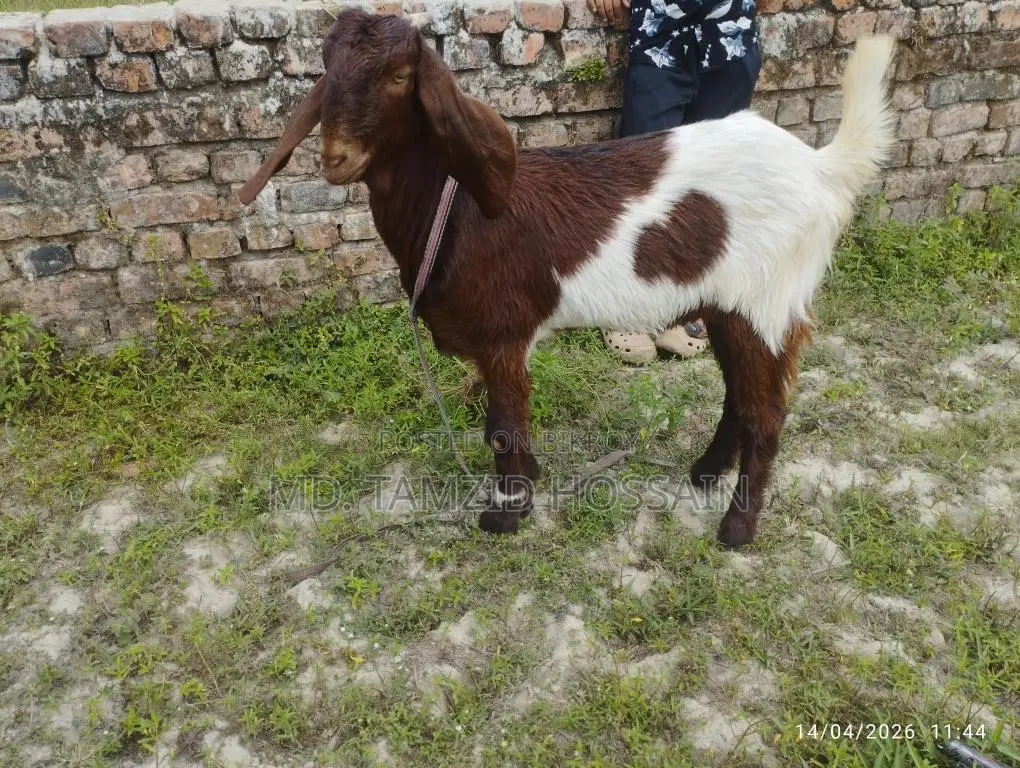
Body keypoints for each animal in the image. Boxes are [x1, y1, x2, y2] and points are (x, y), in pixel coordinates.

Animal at [238, 9, 896, 547]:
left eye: (401, 76)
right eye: (326, 69)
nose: (336, 159)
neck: (457, 212)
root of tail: (818, 167)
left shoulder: (503, 335)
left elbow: (504, 427)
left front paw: (508, 513)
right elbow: (498, 425)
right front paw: (527, 484)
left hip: (765, 303)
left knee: (768, 414)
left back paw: (736, 529)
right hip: (726, 304)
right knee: (738, 394)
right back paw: (704, 473)